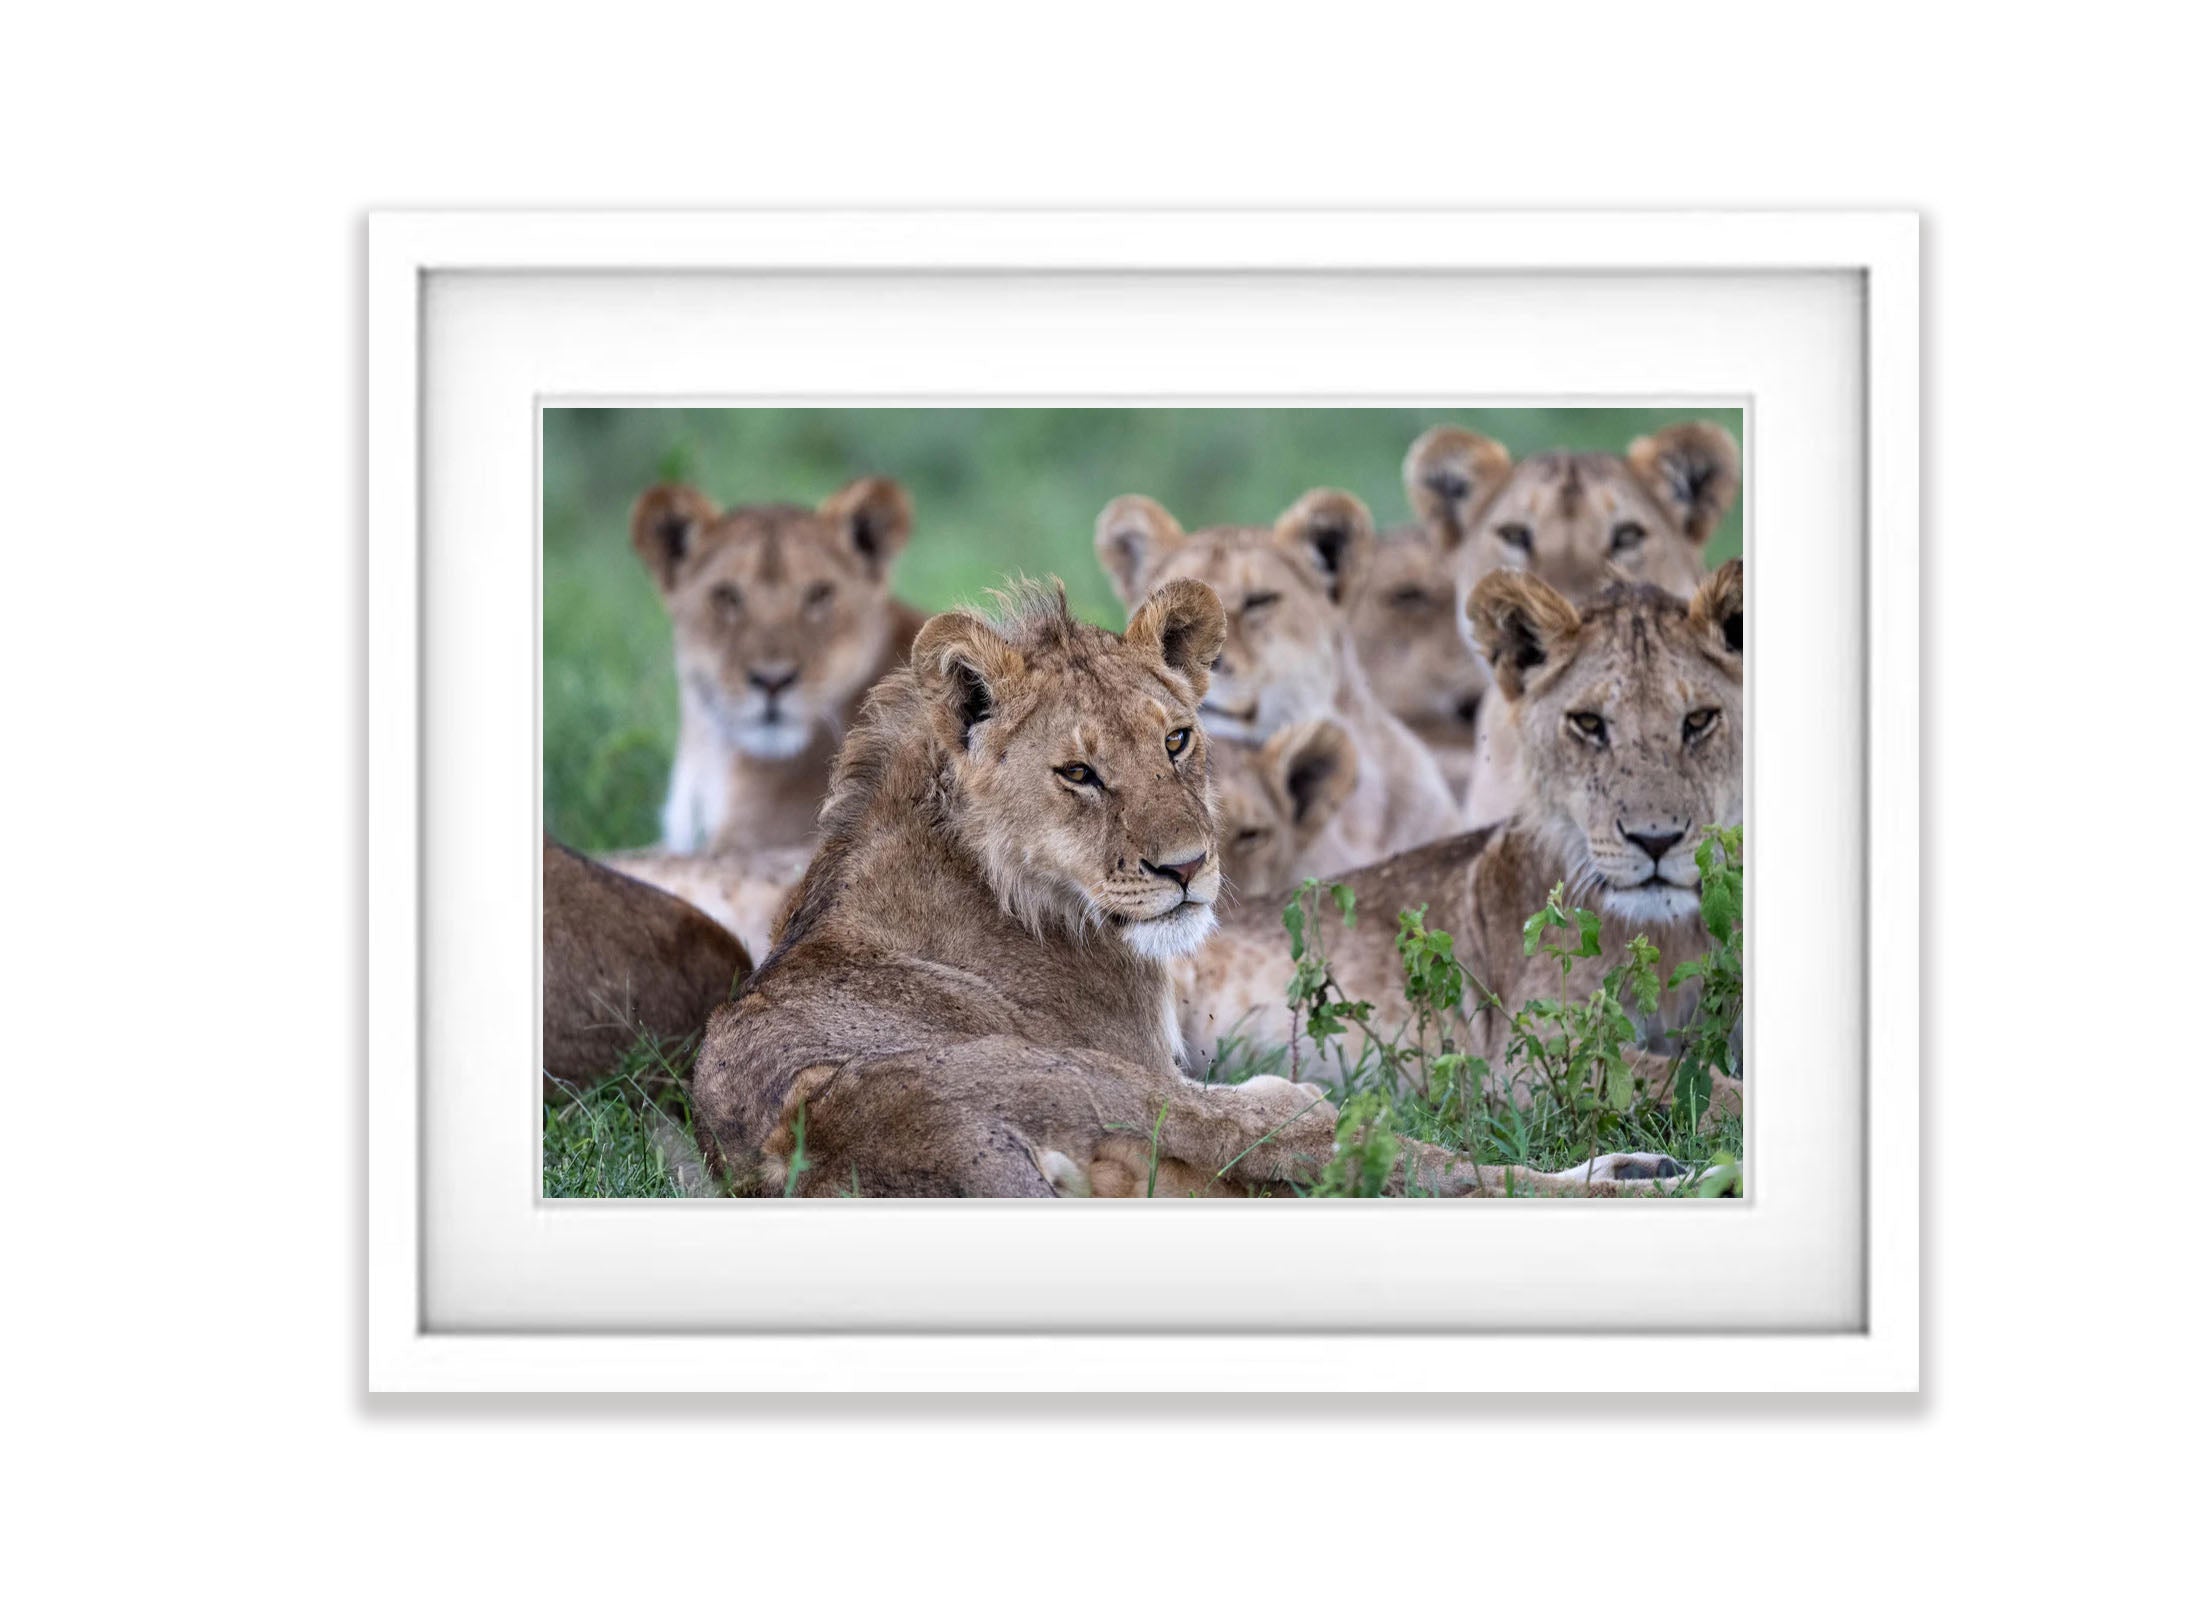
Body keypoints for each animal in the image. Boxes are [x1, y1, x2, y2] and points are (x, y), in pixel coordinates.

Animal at [695, 581, 1672, 1197]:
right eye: (1079, 773)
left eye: (1176, 740)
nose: (1187, 867)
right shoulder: (1155, 1071)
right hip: (1134, 1095)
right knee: (1400, 1160)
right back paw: (1648, 1175)